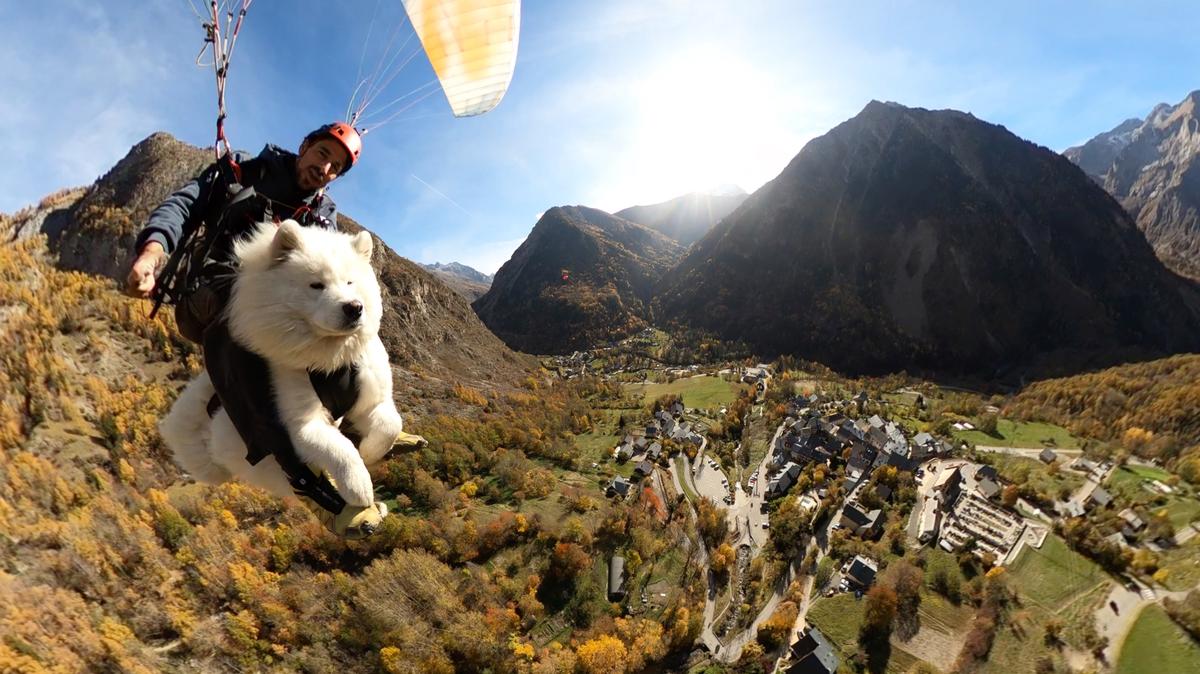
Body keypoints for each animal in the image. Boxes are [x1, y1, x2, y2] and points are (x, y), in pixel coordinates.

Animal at [159, 220, 422, 513]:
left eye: (350, 281)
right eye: (316, 285)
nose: (354, 308)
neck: (330, 361)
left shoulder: (374, 397)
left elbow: (390, 425)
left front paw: (370, 451)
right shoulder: (301, 423)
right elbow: (340, 449)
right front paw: (359, 488)